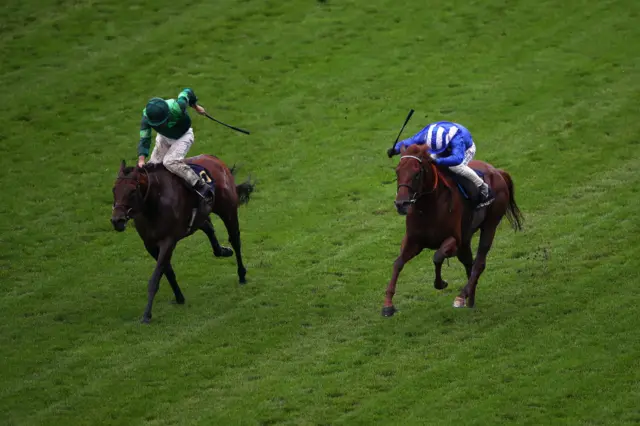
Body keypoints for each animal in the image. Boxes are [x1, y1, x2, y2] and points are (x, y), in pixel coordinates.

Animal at [111, 154, 254, 322]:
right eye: (114, 189)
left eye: (133, 191)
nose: (117, 220)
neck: (154, 203)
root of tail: (214, 159)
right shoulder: (150, 244)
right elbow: (167, 272)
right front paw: (179, 297)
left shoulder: (168, 241)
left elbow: (155, 278)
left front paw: (146, 315)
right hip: (200, 215)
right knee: (208, 227)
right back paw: (223, 251)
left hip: (228, 209)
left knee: (235, 239)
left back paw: (242, 274)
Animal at [382, 145, 524, 314]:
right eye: (398, 171)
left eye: (417, 173)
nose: (401, 204)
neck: (429, 207)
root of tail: (498, 171)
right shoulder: (413, 240)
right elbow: (398, 263)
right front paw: (388, 305)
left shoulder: (454, 239)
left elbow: (437, 257)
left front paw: (441, 283)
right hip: (467, 238)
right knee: (470, 263)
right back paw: (470, 300)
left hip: (490, 226)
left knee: (478, 263)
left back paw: (461, 297)